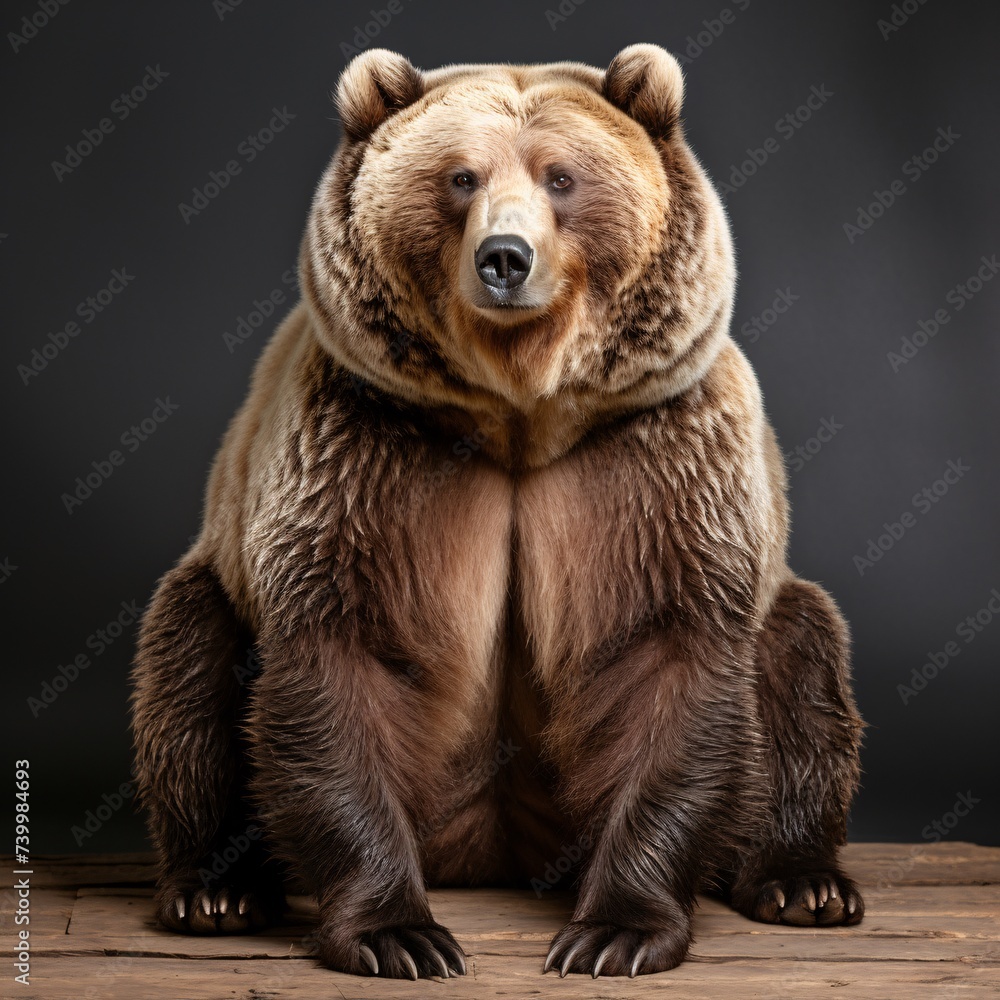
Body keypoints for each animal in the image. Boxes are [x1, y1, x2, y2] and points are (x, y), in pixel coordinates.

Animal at [130, 43, 866, 980]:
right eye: (459, 176)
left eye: (561, 176)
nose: (505, 257)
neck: (520, 410)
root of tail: (491, 856)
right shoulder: (362, 457)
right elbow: (335, 657)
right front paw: (399, 934)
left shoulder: (658, 461)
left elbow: (673, 661)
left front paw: (614, 930)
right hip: (225, 589)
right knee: (187, 660)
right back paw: (214, 888)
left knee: (804, 660)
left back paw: (803, 882)